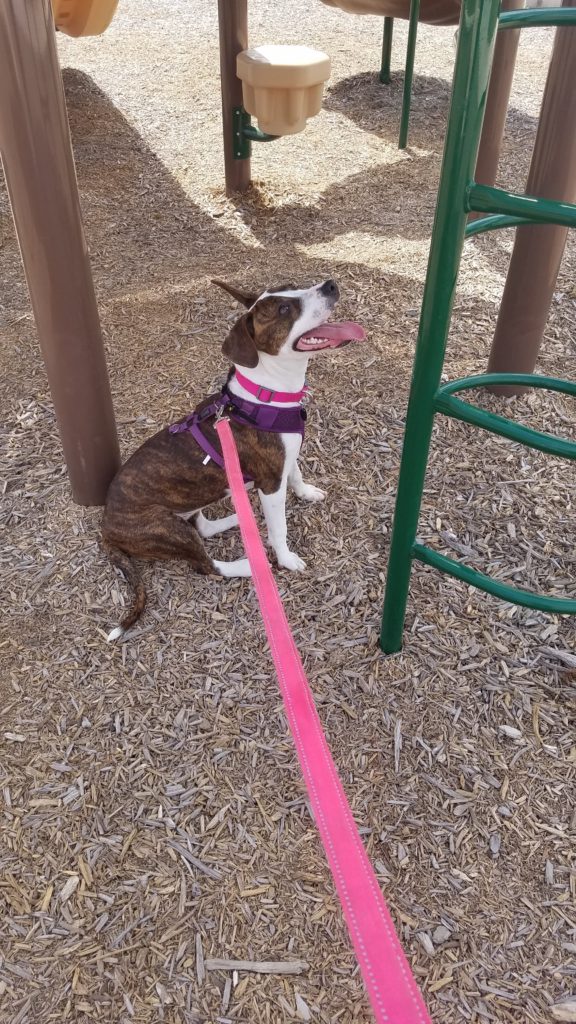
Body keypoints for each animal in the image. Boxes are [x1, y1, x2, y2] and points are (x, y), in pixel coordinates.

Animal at [101, 276, 362, 634]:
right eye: (284, 309)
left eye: (292, 285)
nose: (330, 284)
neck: (266, 394)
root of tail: (106, 527)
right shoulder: (270, 482)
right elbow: (279, 528)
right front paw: (286, 558)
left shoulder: (287, 456)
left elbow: (296, 473)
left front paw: (306, 493)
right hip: (165, 527)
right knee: (205, 565)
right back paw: (250, 565)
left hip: (190, 506)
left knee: (205, 528)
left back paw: (241, 518)